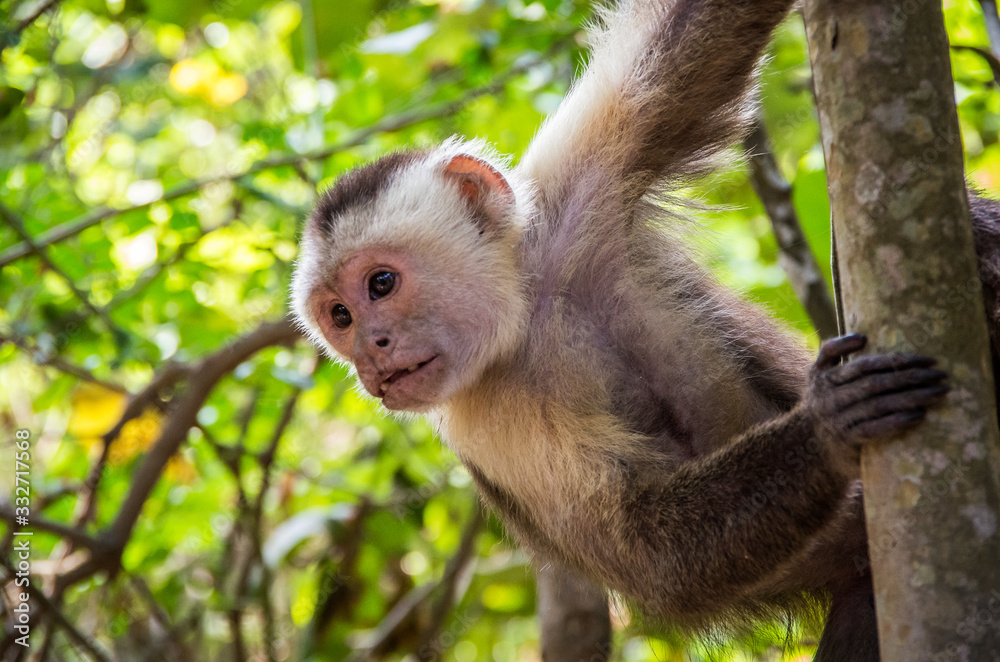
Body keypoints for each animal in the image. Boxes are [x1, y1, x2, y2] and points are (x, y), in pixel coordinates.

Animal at [288, 0, 984, 659]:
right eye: (339, 317)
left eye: (381, 284)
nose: (369, 356)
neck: (527, 315)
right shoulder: (483, 420)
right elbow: (648, 553)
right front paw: (828, 422)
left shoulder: (578, 177)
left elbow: (700, 38)